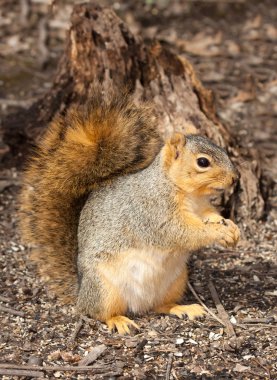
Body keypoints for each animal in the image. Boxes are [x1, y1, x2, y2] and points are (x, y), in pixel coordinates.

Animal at [20, 87, 239, 334]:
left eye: (224, 151)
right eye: (203, 162)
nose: (235, 178)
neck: (188, 194)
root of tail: (81, 291)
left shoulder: (201, 207)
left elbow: (209, 216)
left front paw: (230, 227)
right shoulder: (153, 212)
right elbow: (181, 232)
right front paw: (218, 232)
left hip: (176, 281)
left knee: (160, 305)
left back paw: (182, 308)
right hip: (104, 289)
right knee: (98, 313)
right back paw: (118, 321)